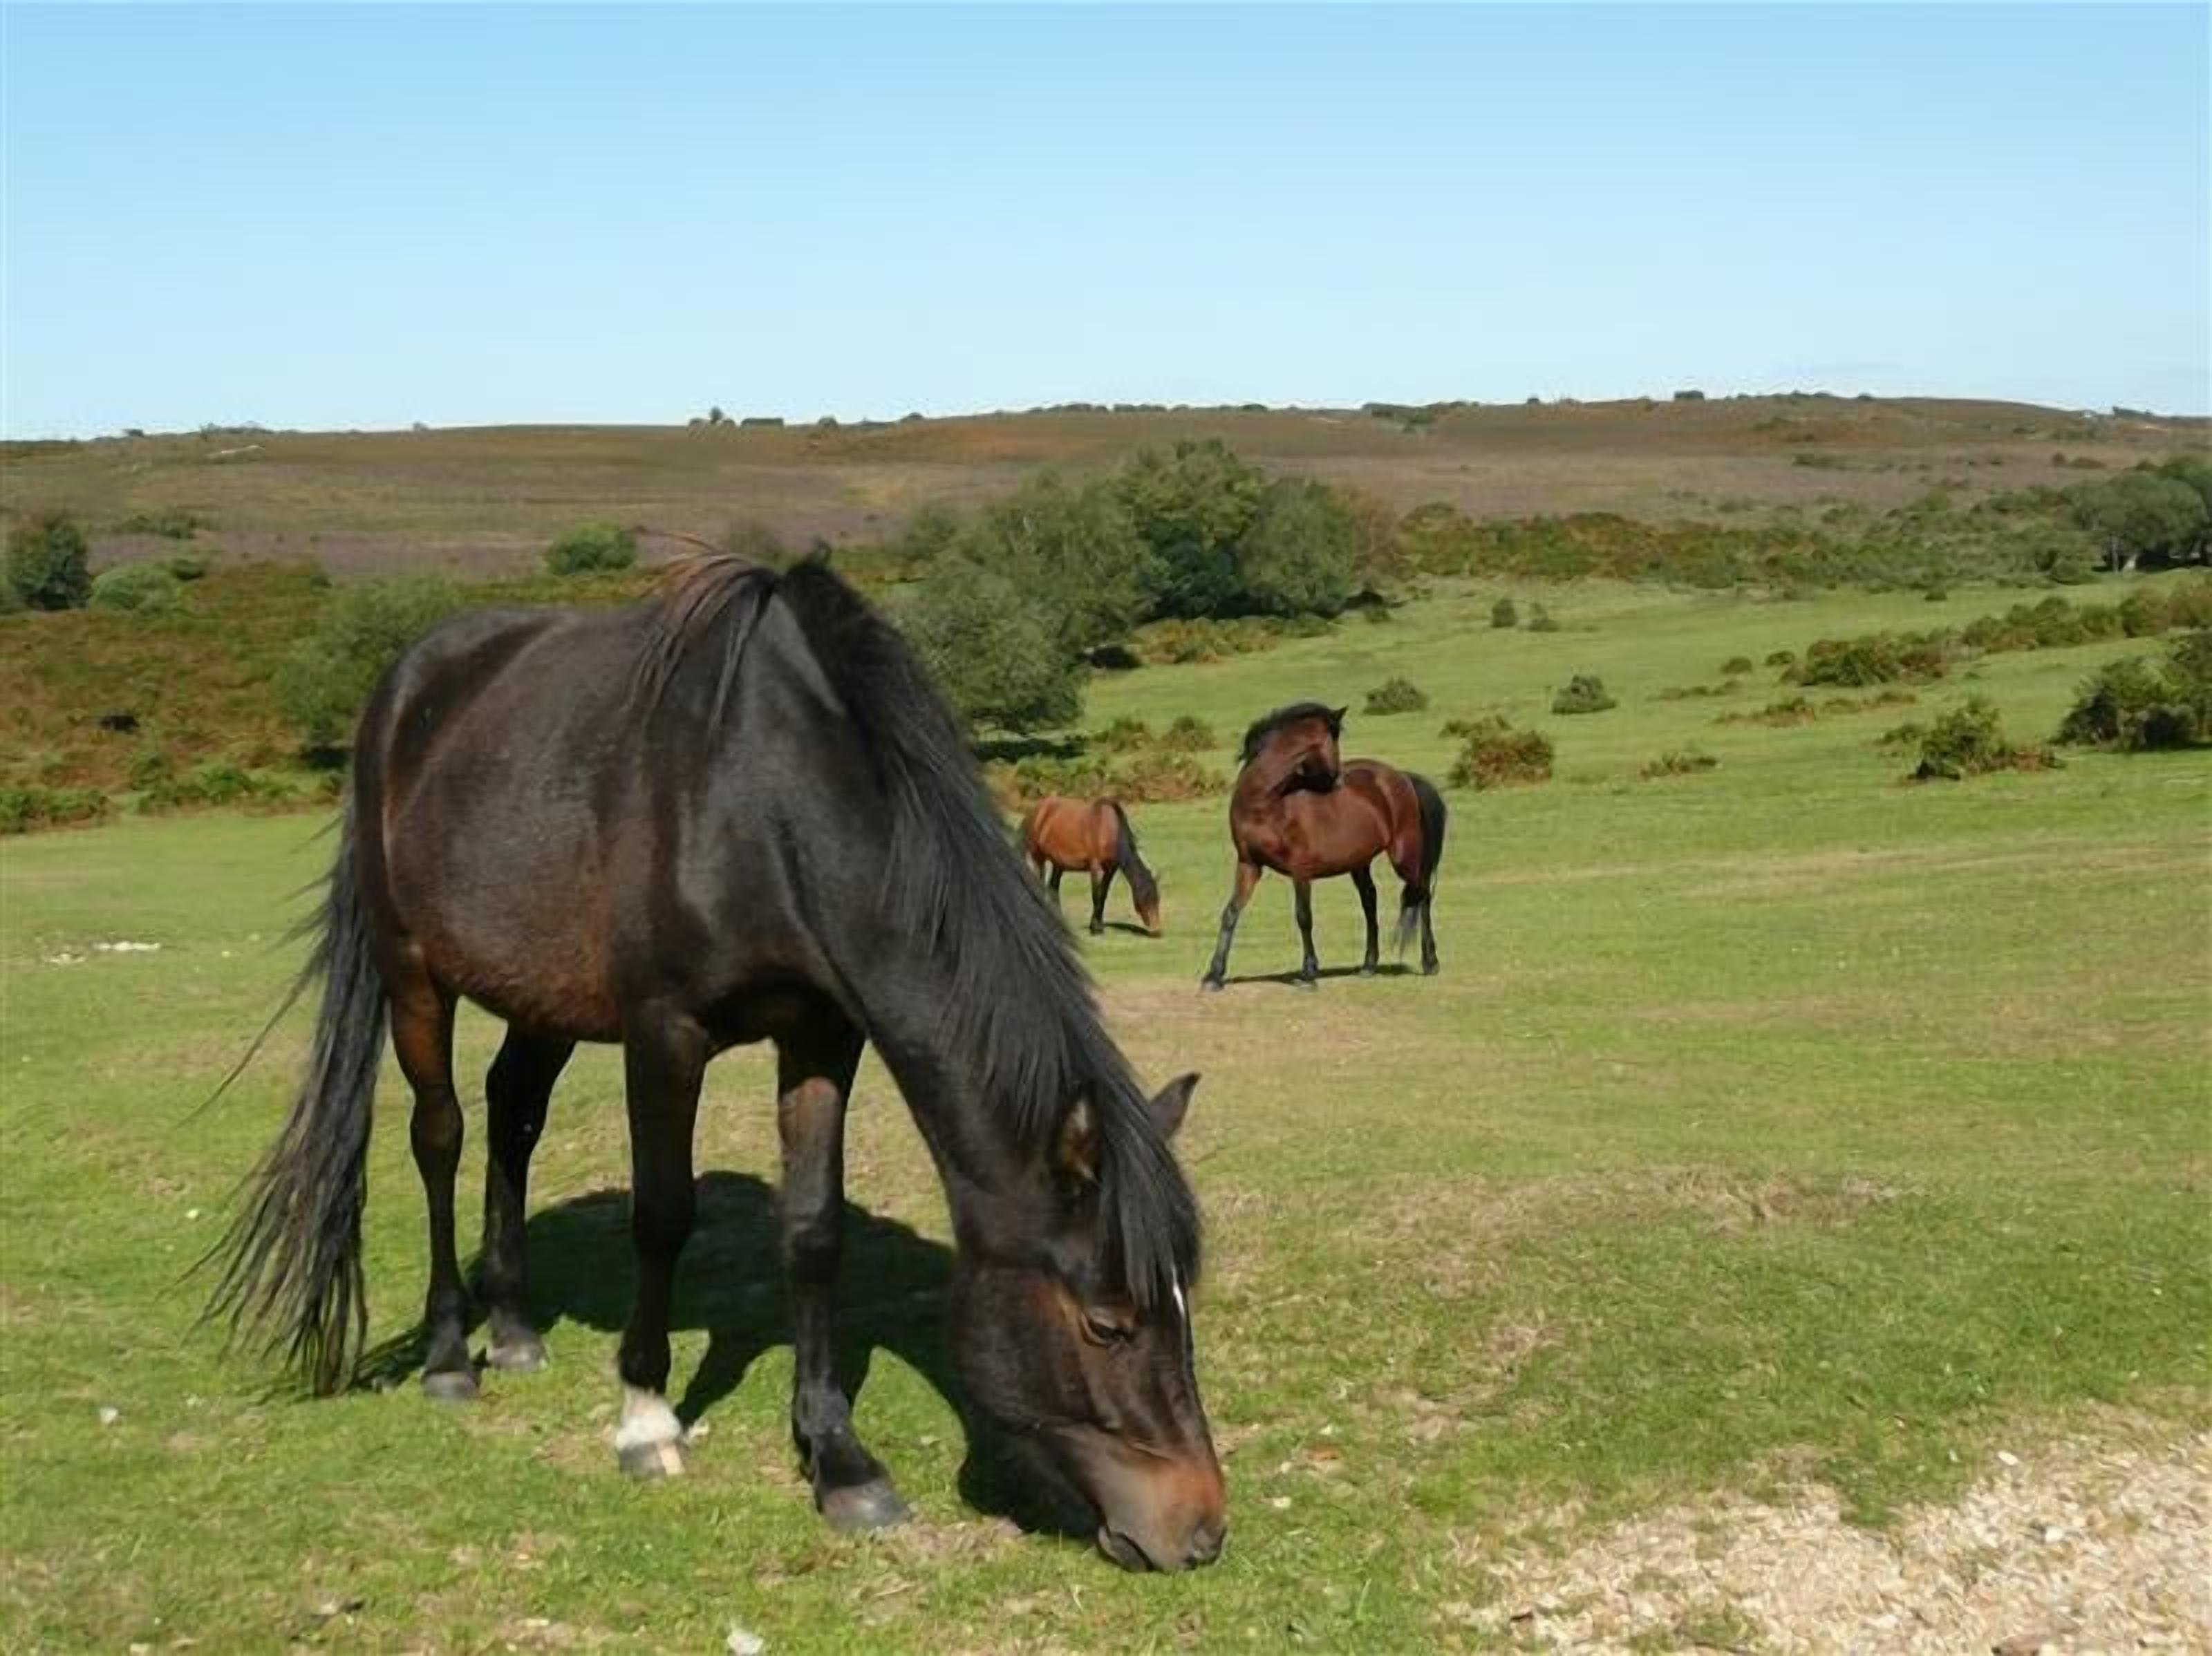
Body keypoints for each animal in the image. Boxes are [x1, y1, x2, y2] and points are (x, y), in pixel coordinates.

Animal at [1020, 796, 1163, 936]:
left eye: (1157, 898)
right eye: (1146, 897)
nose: (1156, 930)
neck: (1108, 830)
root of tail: (1034, 811)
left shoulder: (1110, 870)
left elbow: (1103, 895)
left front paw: (1098, 925)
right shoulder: (1095, 867)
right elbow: (1096, 895)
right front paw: (1096, 929)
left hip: (1058, 864)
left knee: (1053, 887)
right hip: (1038, 858)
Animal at [1199, 702, 1447, 990]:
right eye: (1334, 740)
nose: (1337, 781)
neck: (1268, 802)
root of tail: (1402, 778)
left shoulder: (1300, 869)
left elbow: (1304, 916)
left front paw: (1309, 973)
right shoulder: (1249, 864)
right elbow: (1231, 913)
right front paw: (1214, 976)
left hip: (1404, 856)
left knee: (1422, 895)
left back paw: (1430, 963)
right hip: (1360, 862)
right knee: (1370, 900)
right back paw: (1368, 966)